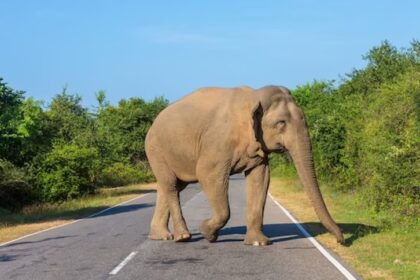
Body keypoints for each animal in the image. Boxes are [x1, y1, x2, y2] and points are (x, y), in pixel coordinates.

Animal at [144, 85, 344, 245]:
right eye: (281, 123)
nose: (341, 241)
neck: (254, 96)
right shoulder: (218, 142)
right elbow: (207, 174)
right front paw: (207, 233)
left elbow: (261, 177)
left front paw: (258, 243)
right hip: (155, 149)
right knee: (170, 185)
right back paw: (183, 237)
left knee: (171, 186)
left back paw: (161, 236)